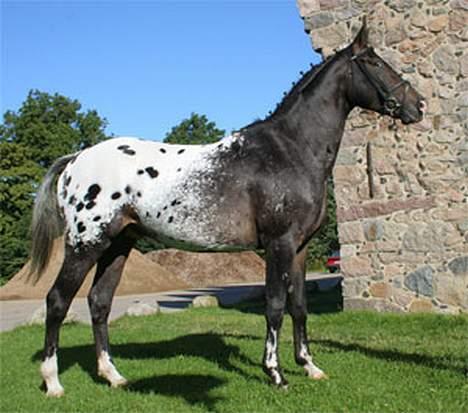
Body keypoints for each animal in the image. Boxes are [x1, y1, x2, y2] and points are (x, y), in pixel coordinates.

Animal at [30, 20, 424, 396]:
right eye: (375, 63)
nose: (418, 105)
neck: (290, 150)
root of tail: (74, 160)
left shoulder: (300, 247)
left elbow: (299, 306)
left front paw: (310, 366)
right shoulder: (279, 244)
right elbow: (275, 305)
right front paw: (276, 373)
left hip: (119, 244)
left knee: (99, 302)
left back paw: (114, 376)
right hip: (86, 245)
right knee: (58, 301)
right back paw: (53, 383)